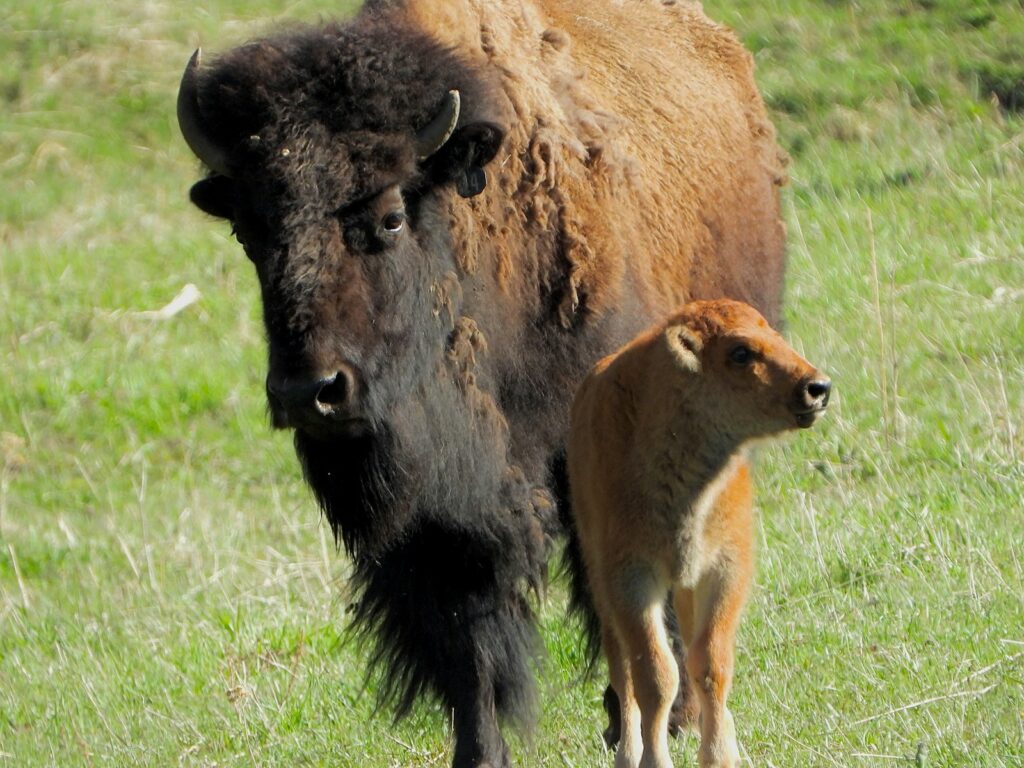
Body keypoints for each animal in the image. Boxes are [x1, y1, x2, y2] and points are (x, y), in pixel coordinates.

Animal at [177, 1, 787, 766]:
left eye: (390, 216)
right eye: (249, 232)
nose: (309, 392)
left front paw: (655, 721)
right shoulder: (441, 517)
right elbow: (467, 634)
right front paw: (479, 749)